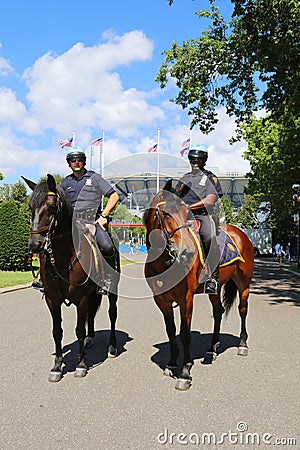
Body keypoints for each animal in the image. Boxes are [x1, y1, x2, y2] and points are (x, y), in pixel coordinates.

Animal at [23, 174, 119, 382]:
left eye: (51, 207)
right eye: (30, 206)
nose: (35, 244)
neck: (63, 257)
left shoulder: (81, 298)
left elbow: (79, 329)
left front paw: (81, 364)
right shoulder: (52, 300)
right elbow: (57, 332)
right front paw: (57, 366)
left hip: (112, 291)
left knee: (112, 314)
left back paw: (112, 345)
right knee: (91, 314)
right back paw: (91, 338)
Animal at [143, 179, 253, 390]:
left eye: (186, 214)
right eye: (166, 214)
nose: (186, 252)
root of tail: (239, 233)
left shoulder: (186, 299)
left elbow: (185, 334)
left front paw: (185, 372)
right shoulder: (161, 300)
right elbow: (171, 331)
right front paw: (171, 363)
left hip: (244, 283)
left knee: (243, 310)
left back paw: (242, 344)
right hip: (215, 289)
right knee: (218, 312)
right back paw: (212, 349)